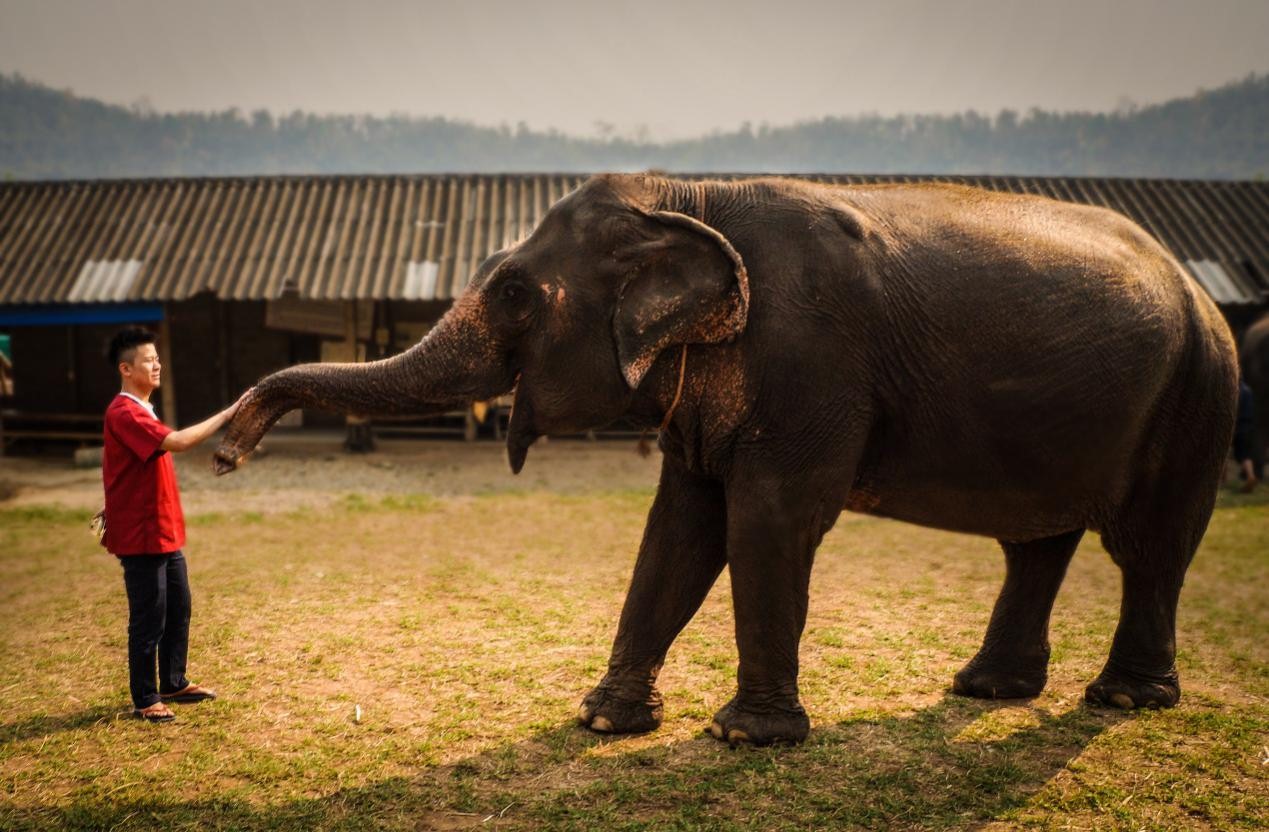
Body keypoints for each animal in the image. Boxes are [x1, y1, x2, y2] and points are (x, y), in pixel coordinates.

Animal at [213, 175, 1233, 745]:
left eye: (511, 293)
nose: (227, 451)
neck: (685, 199)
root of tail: (1199, 293)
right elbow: (679, 525)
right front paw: (602, 720)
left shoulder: (811, 357)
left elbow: (768, 518)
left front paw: (747, 739)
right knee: (1036, 543)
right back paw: (985, 688)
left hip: (1198, 396)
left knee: (1148, 548)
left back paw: (1123, 702)